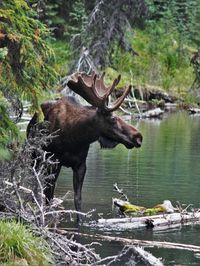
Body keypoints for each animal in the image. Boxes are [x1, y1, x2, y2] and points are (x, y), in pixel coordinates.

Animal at [27, 71, 142, 221]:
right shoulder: (53, 161)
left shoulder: (81, 164)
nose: (138, 136)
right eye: (113, 118)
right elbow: (48, 195)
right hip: (34, 157)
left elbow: (78, 200)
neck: (75, 137)